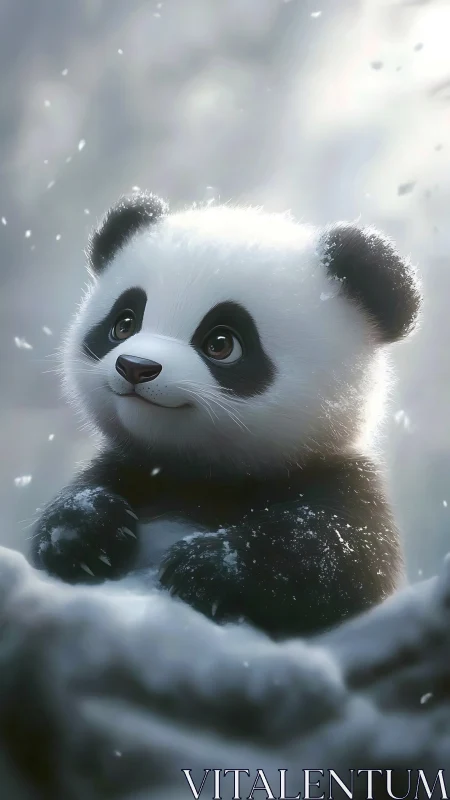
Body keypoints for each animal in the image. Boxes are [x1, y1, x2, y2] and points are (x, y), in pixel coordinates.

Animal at [31, 191, 422, 638]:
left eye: (221, 343)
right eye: (124, 323)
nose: (135, 367)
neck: (202, 475)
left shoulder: (339, 480)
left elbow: (334, 561)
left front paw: (205, 566)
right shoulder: (133, 463)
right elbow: (74, 502)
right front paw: (85, 534)